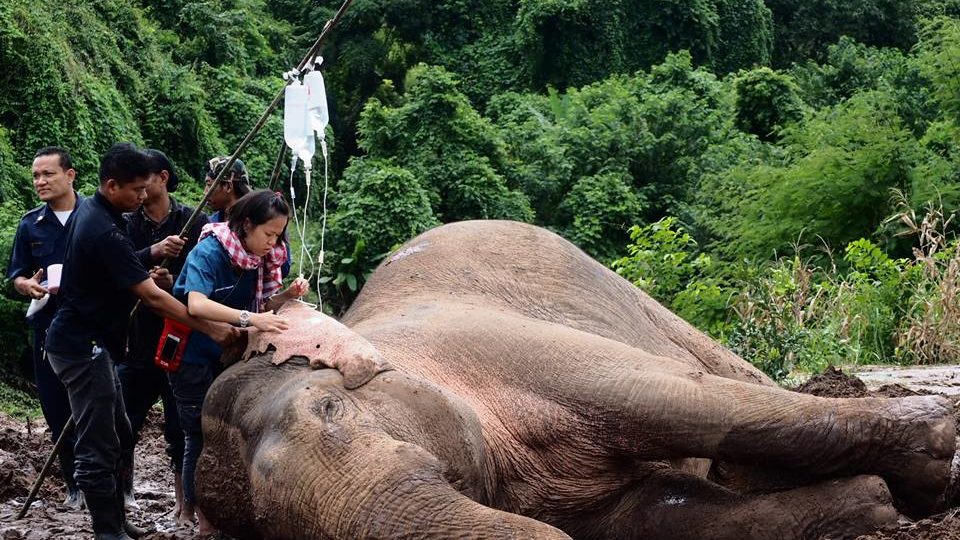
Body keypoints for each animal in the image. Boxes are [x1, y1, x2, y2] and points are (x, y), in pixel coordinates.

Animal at [197, 220, 956, 539]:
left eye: (330, 410)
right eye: (274, 528)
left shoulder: (502, 347)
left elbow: (684, 401)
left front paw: (929, 469)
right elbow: (658, 513)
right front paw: (871, 504)